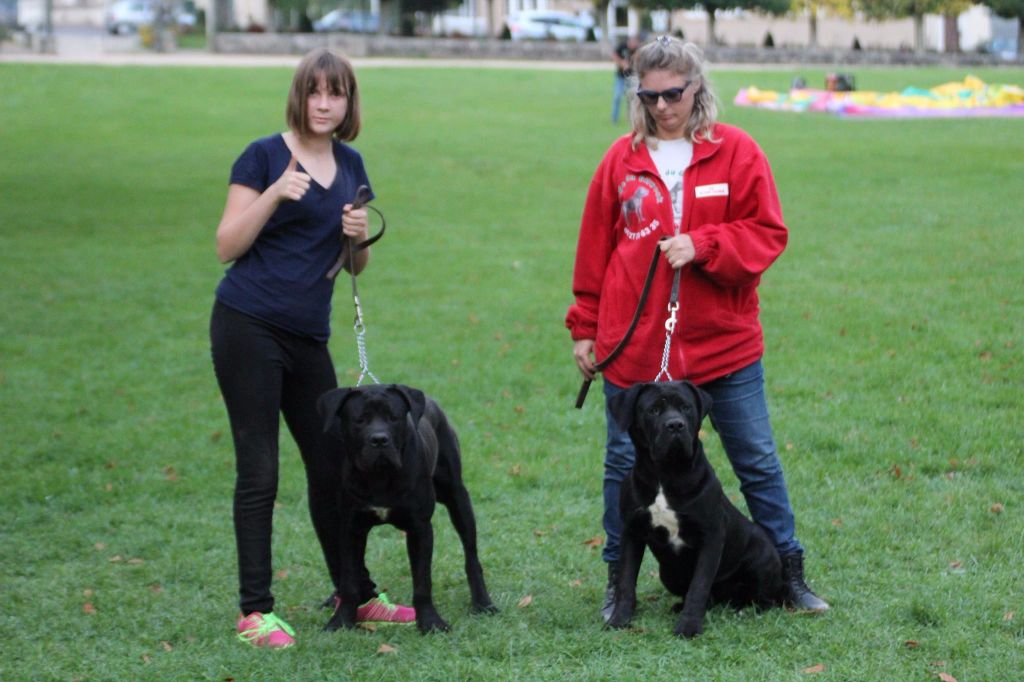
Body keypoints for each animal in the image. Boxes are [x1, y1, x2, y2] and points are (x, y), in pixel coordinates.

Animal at [317, 382, 497, 630]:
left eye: (394, 418)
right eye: (359, 420)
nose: (379, 439)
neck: (380, 476)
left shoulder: (419, 527)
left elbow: (422, 581)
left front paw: (431, 623)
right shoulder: (350, 530)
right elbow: (349, 581)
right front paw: (341, 621)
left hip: (458, 498)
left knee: (471, 556)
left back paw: (483, 603)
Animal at [606, 378, 782, 634]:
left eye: (686, 407)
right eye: (653, 410)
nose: (675, 425)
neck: (666, 473)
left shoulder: (711, 536)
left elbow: (699, 586)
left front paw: (688, 627)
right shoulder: (631, 532)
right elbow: (626, 581)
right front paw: (619, 619)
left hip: (762, 558)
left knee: (763, 598)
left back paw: (745, 610)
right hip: (668, 573)